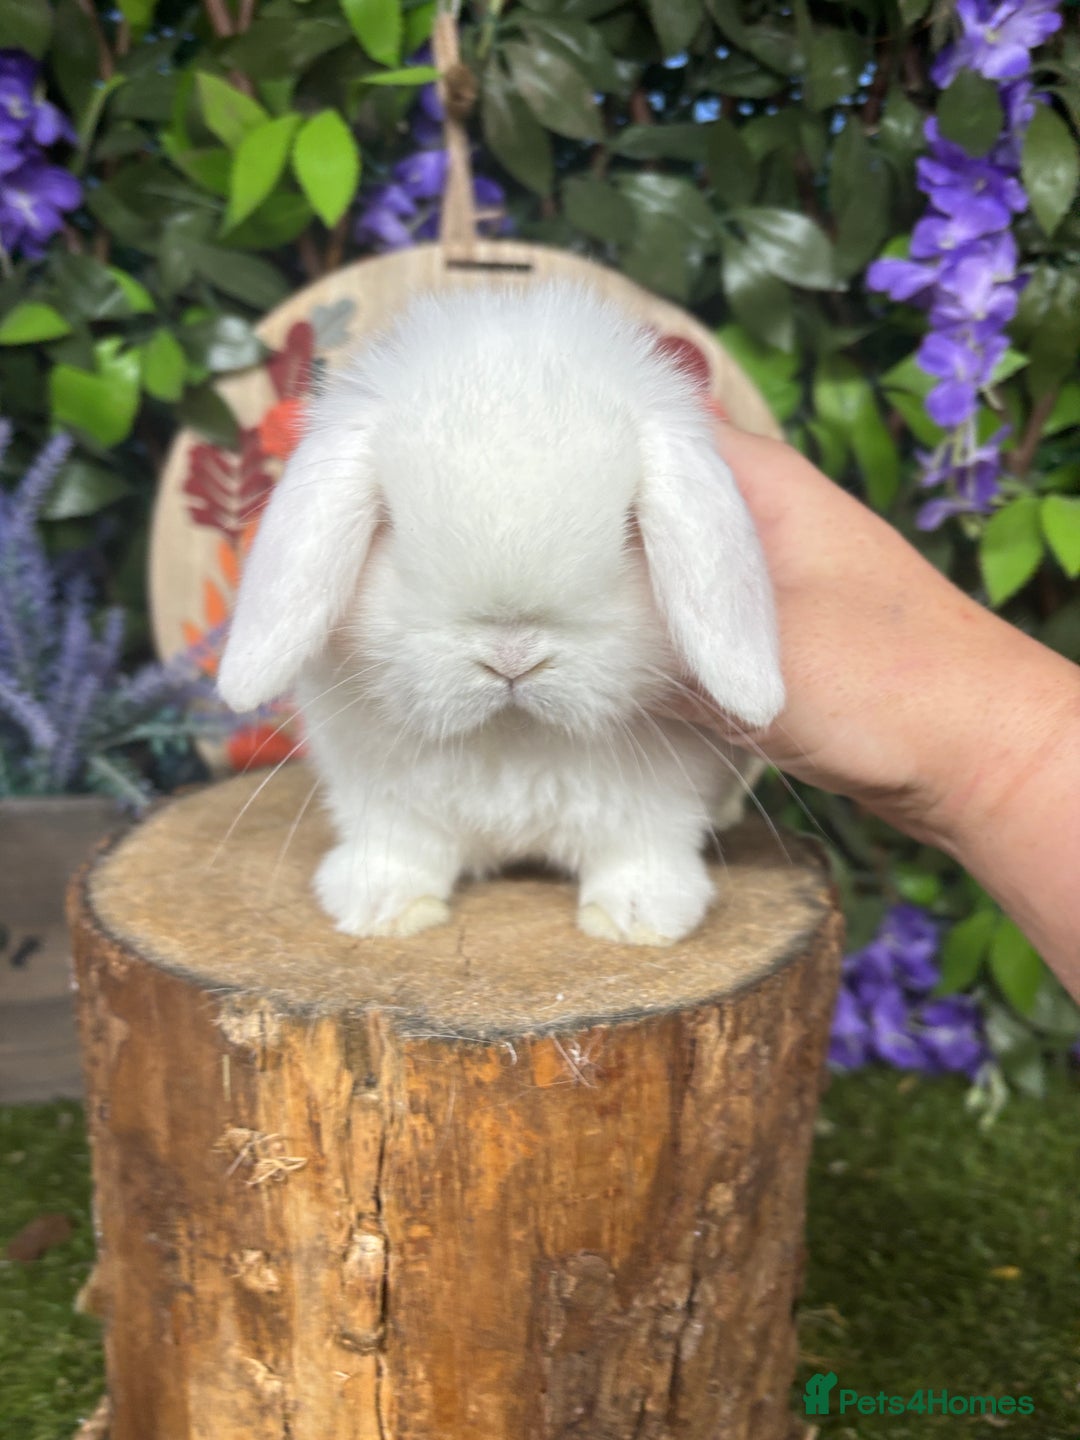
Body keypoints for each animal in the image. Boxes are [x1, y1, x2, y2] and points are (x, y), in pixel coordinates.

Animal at [217, 282, 784, 946]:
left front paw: (639, 919)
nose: (512, 656)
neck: (512, 737)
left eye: (628, 527)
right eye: (391, 525)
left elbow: (642, 853)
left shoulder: (658, 803)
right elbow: (400, 849)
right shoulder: (381, 796)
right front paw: (380, 907)